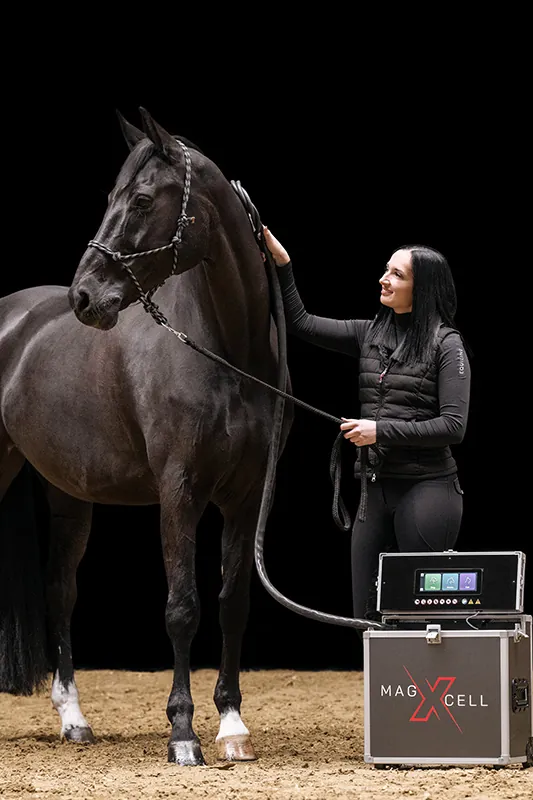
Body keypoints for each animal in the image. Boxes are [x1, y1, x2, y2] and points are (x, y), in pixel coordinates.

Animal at [0, 107, 293, 766]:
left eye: (138, 200)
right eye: (109, 197)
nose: (83, 296)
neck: (225, 348)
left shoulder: (244, 496)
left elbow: (232, 603)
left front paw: (232, 726)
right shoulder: (179, 490)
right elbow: (182, 608)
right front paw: (183, 733)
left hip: (69, 495)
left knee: (61, 590)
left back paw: (74, 719)